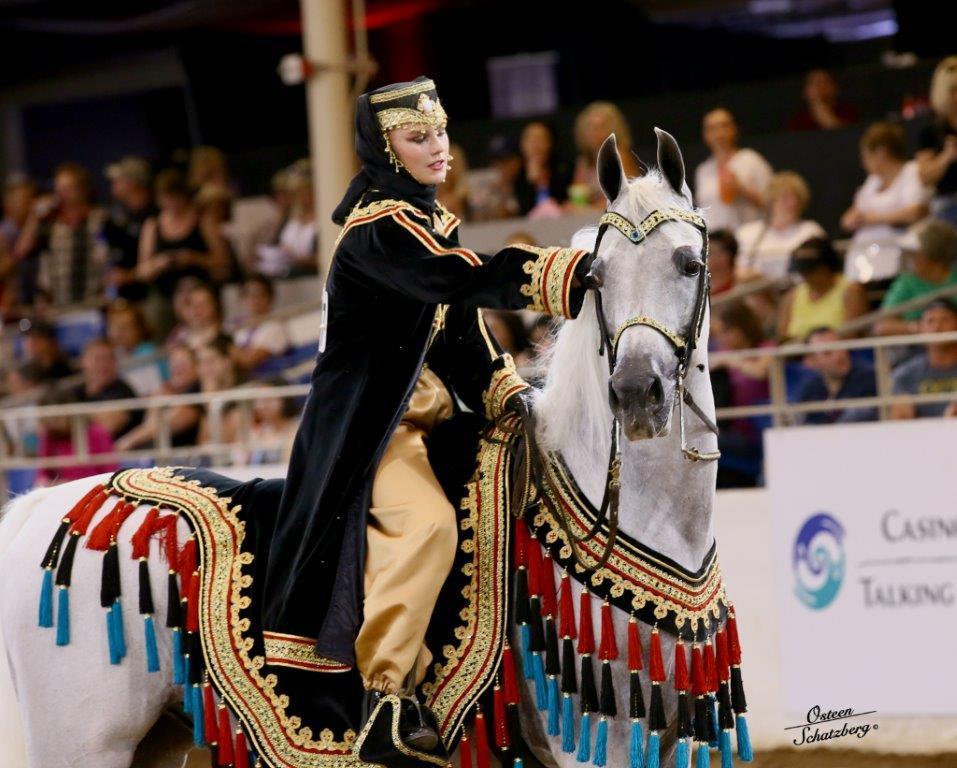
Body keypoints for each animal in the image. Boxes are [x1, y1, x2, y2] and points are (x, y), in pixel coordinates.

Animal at [0, 129, 744, 768]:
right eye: (597, 277)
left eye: (689, 263)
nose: (637, 394)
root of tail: (44, 507)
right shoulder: (592, 743)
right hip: (85, 742)